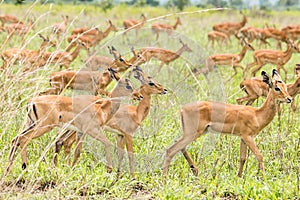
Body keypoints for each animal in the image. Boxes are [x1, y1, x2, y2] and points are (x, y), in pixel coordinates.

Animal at [6, 69, 143, 175]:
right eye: (128, 86)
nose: (139, 95)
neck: (102, 108)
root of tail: (31, 101)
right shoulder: (92, 130)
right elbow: (107, 143)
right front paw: (109, 169)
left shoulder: (80, 132)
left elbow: (77, 152)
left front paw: (71, 169)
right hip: (43, 127)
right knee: (23, 139)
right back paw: (25, 168)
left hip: (31, 124)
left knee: (15, 139)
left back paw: (9, 169)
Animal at [163, 69, 292, 177]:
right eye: (277, 88)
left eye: (285, 86)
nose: (289, 99)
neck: (257, 114)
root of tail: (182, 109)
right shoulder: (248, 136)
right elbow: (259, 156)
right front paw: (263, 178)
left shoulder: (243, 138)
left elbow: (242, 158)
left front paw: (239, 177)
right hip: (193, 133)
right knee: (171, 150)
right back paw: (165, 178)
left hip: (195, 133)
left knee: (180, 147)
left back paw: (195, 170)